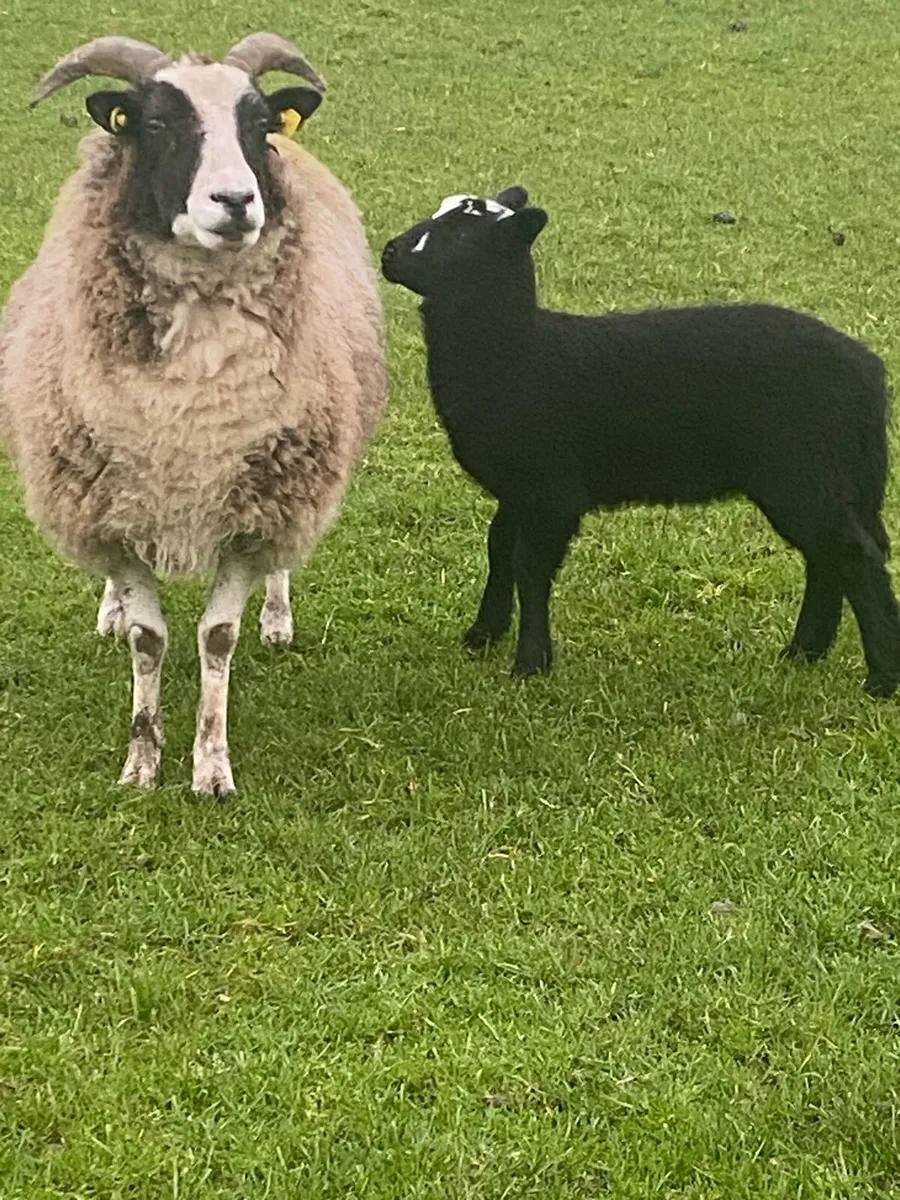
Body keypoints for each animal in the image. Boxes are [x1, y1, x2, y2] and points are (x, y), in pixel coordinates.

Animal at [0, 33, 387, 794]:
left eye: (260, 125)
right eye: (157, 125)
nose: (236, 201)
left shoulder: (256, 506)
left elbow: (217, 636)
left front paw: (211, 765)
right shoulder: (113, 511)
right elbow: (149, 639)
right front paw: (141, 762)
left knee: (278, 568)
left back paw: (278, 617)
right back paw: (109, 611)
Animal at [381, 187, 900, 695]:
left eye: (461, 235)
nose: (388, 252)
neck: (516, 352)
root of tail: (869, 372)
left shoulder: (552, 491)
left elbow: (530, 567)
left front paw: (531, 663)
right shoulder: (519, 488)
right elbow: (499, 549)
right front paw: (484, 634)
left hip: (802, 473)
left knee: (856, 557)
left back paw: (880, 679)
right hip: (822, 480)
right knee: (827, 558)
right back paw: (804, 652)